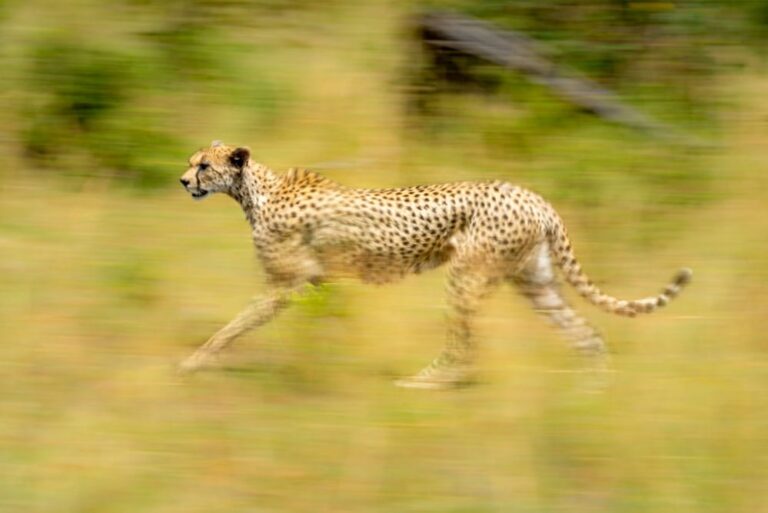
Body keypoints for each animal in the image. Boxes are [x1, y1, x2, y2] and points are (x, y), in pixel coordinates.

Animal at [177, 141, 692, 388]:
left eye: (204, 165)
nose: (183, 181)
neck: (254, 191)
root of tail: (534, 196)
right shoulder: (314, 283)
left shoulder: (284, 285)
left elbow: (233, 326)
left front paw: (194, 362)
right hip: (535, 282)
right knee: (587, 334)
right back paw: (592, 393)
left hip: (467, 275)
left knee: (465, 350)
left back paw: (426, 382)